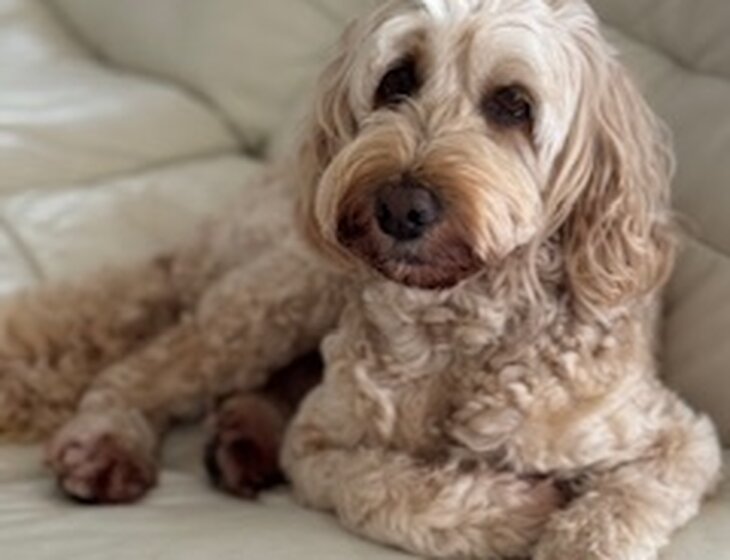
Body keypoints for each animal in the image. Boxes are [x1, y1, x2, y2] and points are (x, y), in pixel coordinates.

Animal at [0, 0, 722, 558]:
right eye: (396, 80)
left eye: (513, 105)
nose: (401, 206)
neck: (461, 327)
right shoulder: (319, 445)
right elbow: (393, 489)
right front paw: (523, 509)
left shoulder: (680, 441)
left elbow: (617, 507)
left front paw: (568, 520)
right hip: (286, 290)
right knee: (143, 370)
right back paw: (109, 440)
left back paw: (242, 440)